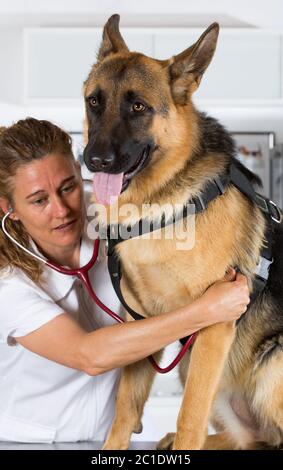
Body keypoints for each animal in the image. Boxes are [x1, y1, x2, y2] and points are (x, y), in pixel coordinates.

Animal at [83, 13, 283, 448]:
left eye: (138, 106)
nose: (94, 160)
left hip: (271, 363)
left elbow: (191, 414)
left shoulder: (213, 327)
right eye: (94, 101)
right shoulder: (140, 325)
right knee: (245, 441)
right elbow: (125, 410)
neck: (158, 206)